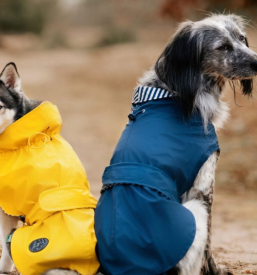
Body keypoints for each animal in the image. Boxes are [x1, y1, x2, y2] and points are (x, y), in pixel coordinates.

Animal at [94, 13, 256, 275]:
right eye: (222, 47)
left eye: (242, 39)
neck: (178, 94)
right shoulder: (203, 186)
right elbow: (209, 244)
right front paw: (216, 270)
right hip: (194, 213)